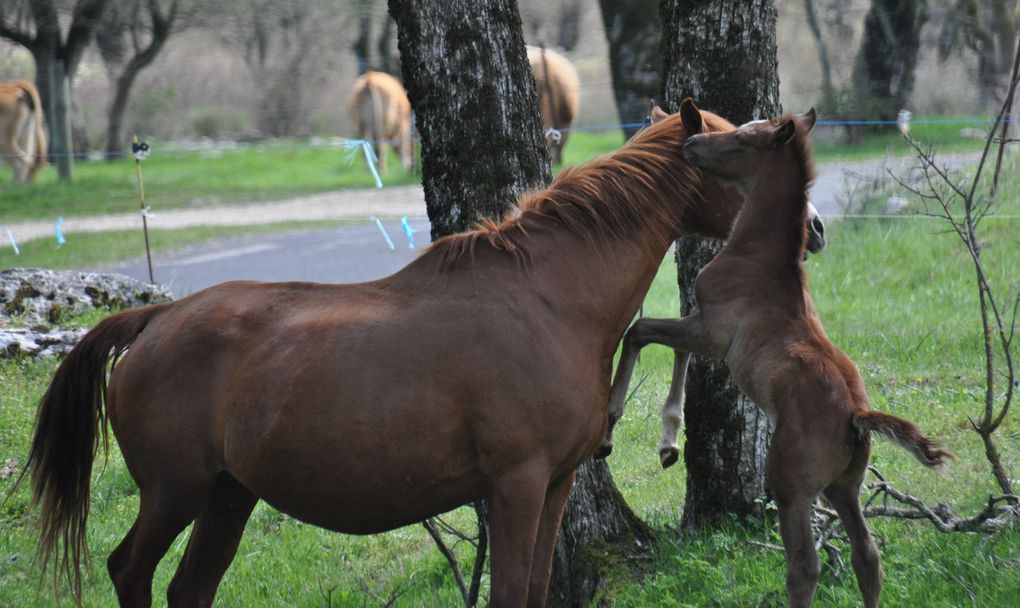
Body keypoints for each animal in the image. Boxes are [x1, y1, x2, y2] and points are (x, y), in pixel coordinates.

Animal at [599, 109, 950, 608]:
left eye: (743, 138)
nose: (691, 145)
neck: (761, 257)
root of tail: (857, 415)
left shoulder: (713, 333)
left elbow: (639, 332)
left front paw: (615, 427)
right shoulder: (704, 326)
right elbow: (664, 342)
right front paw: (667, 442)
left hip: (791, 486)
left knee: (804, 566)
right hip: (846, 486)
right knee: (867, 556)